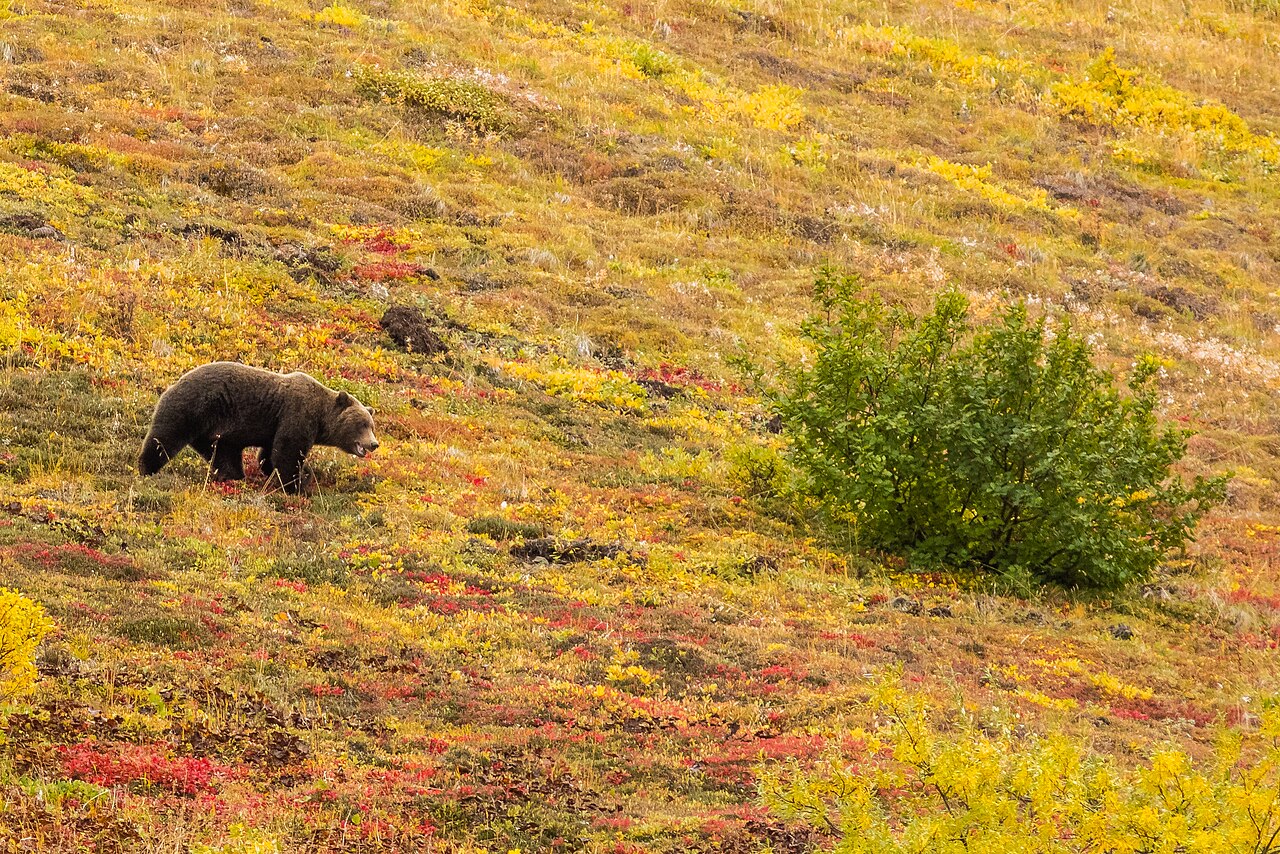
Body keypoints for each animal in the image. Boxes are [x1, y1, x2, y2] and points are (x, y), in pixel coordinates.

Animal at [138, 362, 379, 494]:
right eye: (362, 424)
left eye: (371, 425)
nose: (374, 444)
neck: (320, 417)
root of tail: (171, 384)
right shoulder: (297, 415)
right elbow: (288, 453)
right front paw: (296, 485)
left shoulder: (277, 426)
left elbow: (270, 454)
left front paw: (300, 475)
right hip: (191, 407)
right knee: (164, 439)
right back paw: (147, 468)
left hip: (214, 431)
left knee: (223, 453)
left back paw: (231, 475)